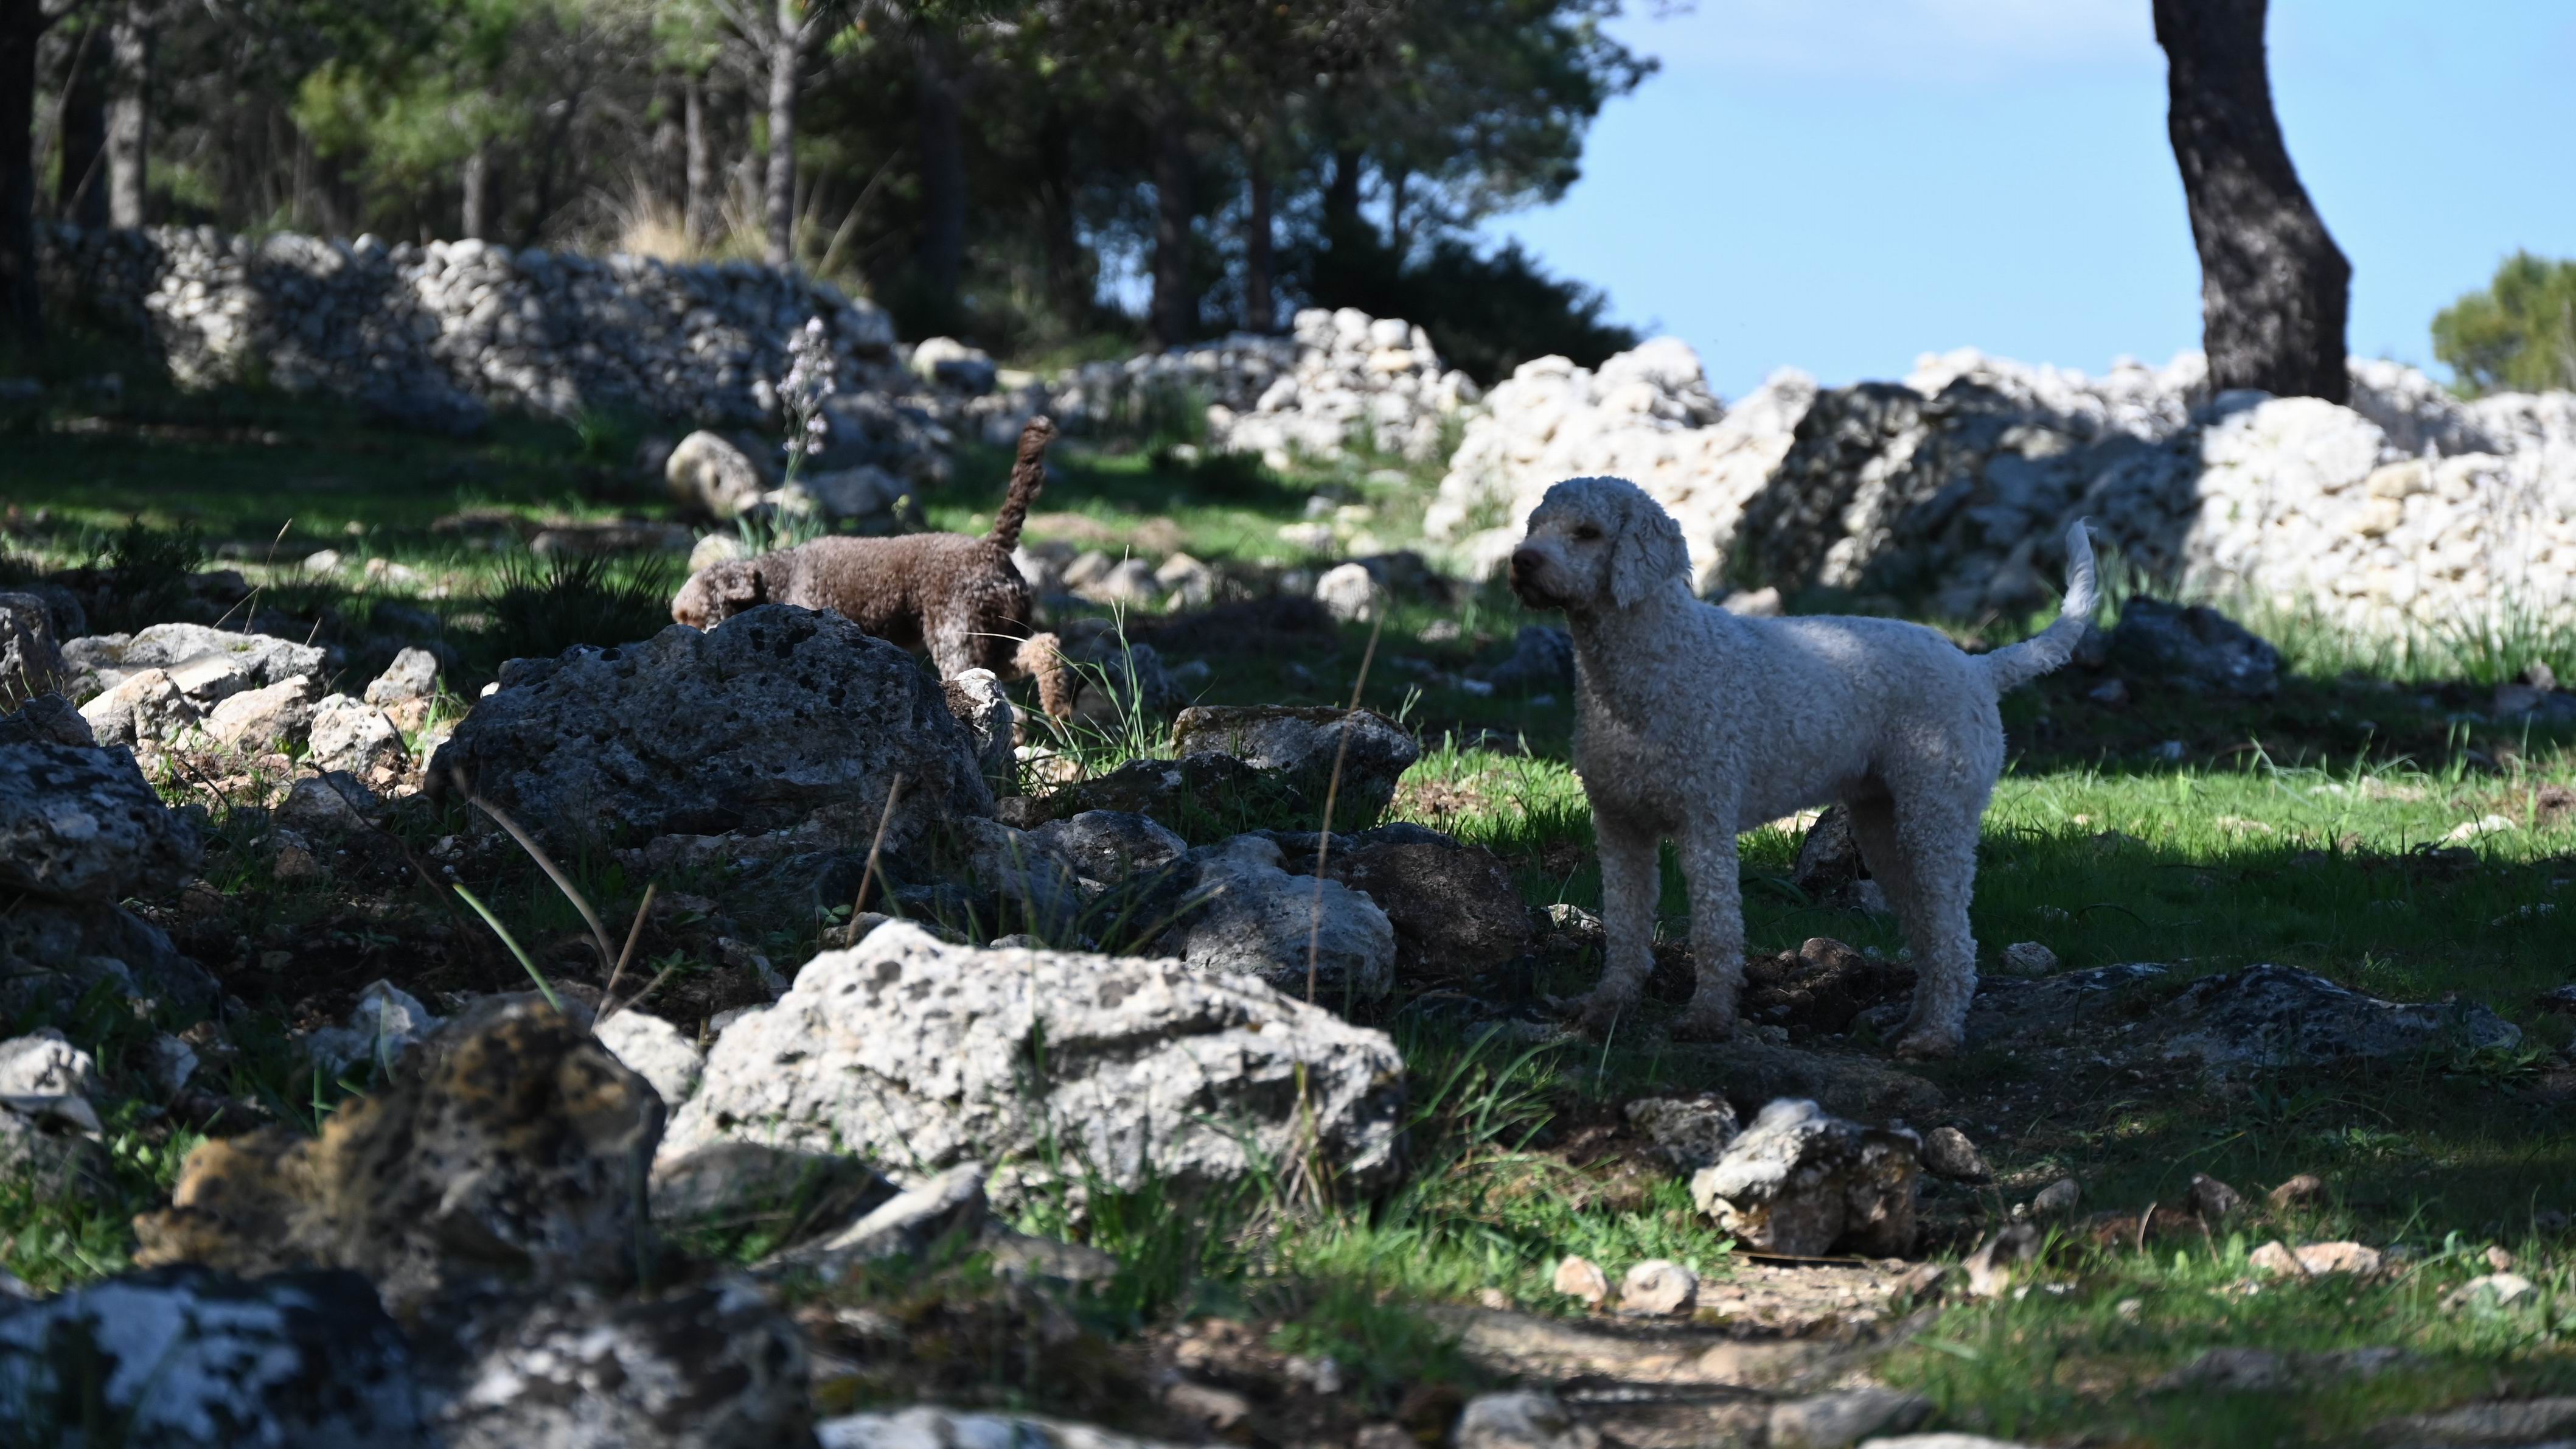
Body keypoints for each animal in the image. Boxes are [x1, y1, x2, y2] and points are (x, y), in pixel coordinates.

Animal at [675, 412, 1076, 716]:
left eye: (693, 618)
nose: (693, 647)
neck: (776, 578)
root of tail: (991, 547)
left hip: (957, 637)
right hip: (996, 635)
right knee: (1042, 646)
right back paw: (1058, 708)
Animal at [1504, 480, 2092, 1057]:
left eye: (1587, 532)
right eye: (1536, 524)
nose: (1521, 560)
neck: (1655, 664)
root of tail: (1977, 666)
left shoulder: (1705, 821)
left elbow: (1716, 929)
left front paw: (1707, 1019)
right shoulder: (1619, 825)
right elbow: (1625, 929)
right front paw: (1605, 1009)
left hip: (1937, 815)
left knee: (1954, 937)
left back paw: (1936, 1036)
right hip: (1884, 825)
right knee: (1926, 929)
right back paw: (1912, 1024)